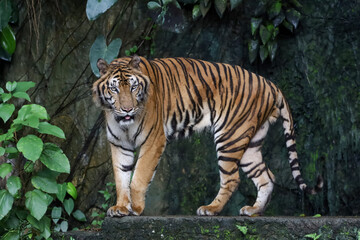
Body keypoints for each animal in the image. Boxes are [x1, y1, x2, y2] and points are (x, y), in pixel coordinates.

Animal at [91, 55, 322, 217]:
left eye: (133, 86)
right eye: (114, 89)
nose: (127, 110)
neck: (124, 123)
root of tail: (269, 83)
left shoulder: (153, 141)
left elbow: (138, 178)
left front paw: (136, 209)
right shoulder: (119, 144)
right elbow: (121, 178)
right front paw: (121, 207)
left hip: (230, 136)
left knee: (232, 178)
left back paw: (211, 209)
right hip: (250, 145)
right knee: (267, 176)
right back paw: (254, 210)